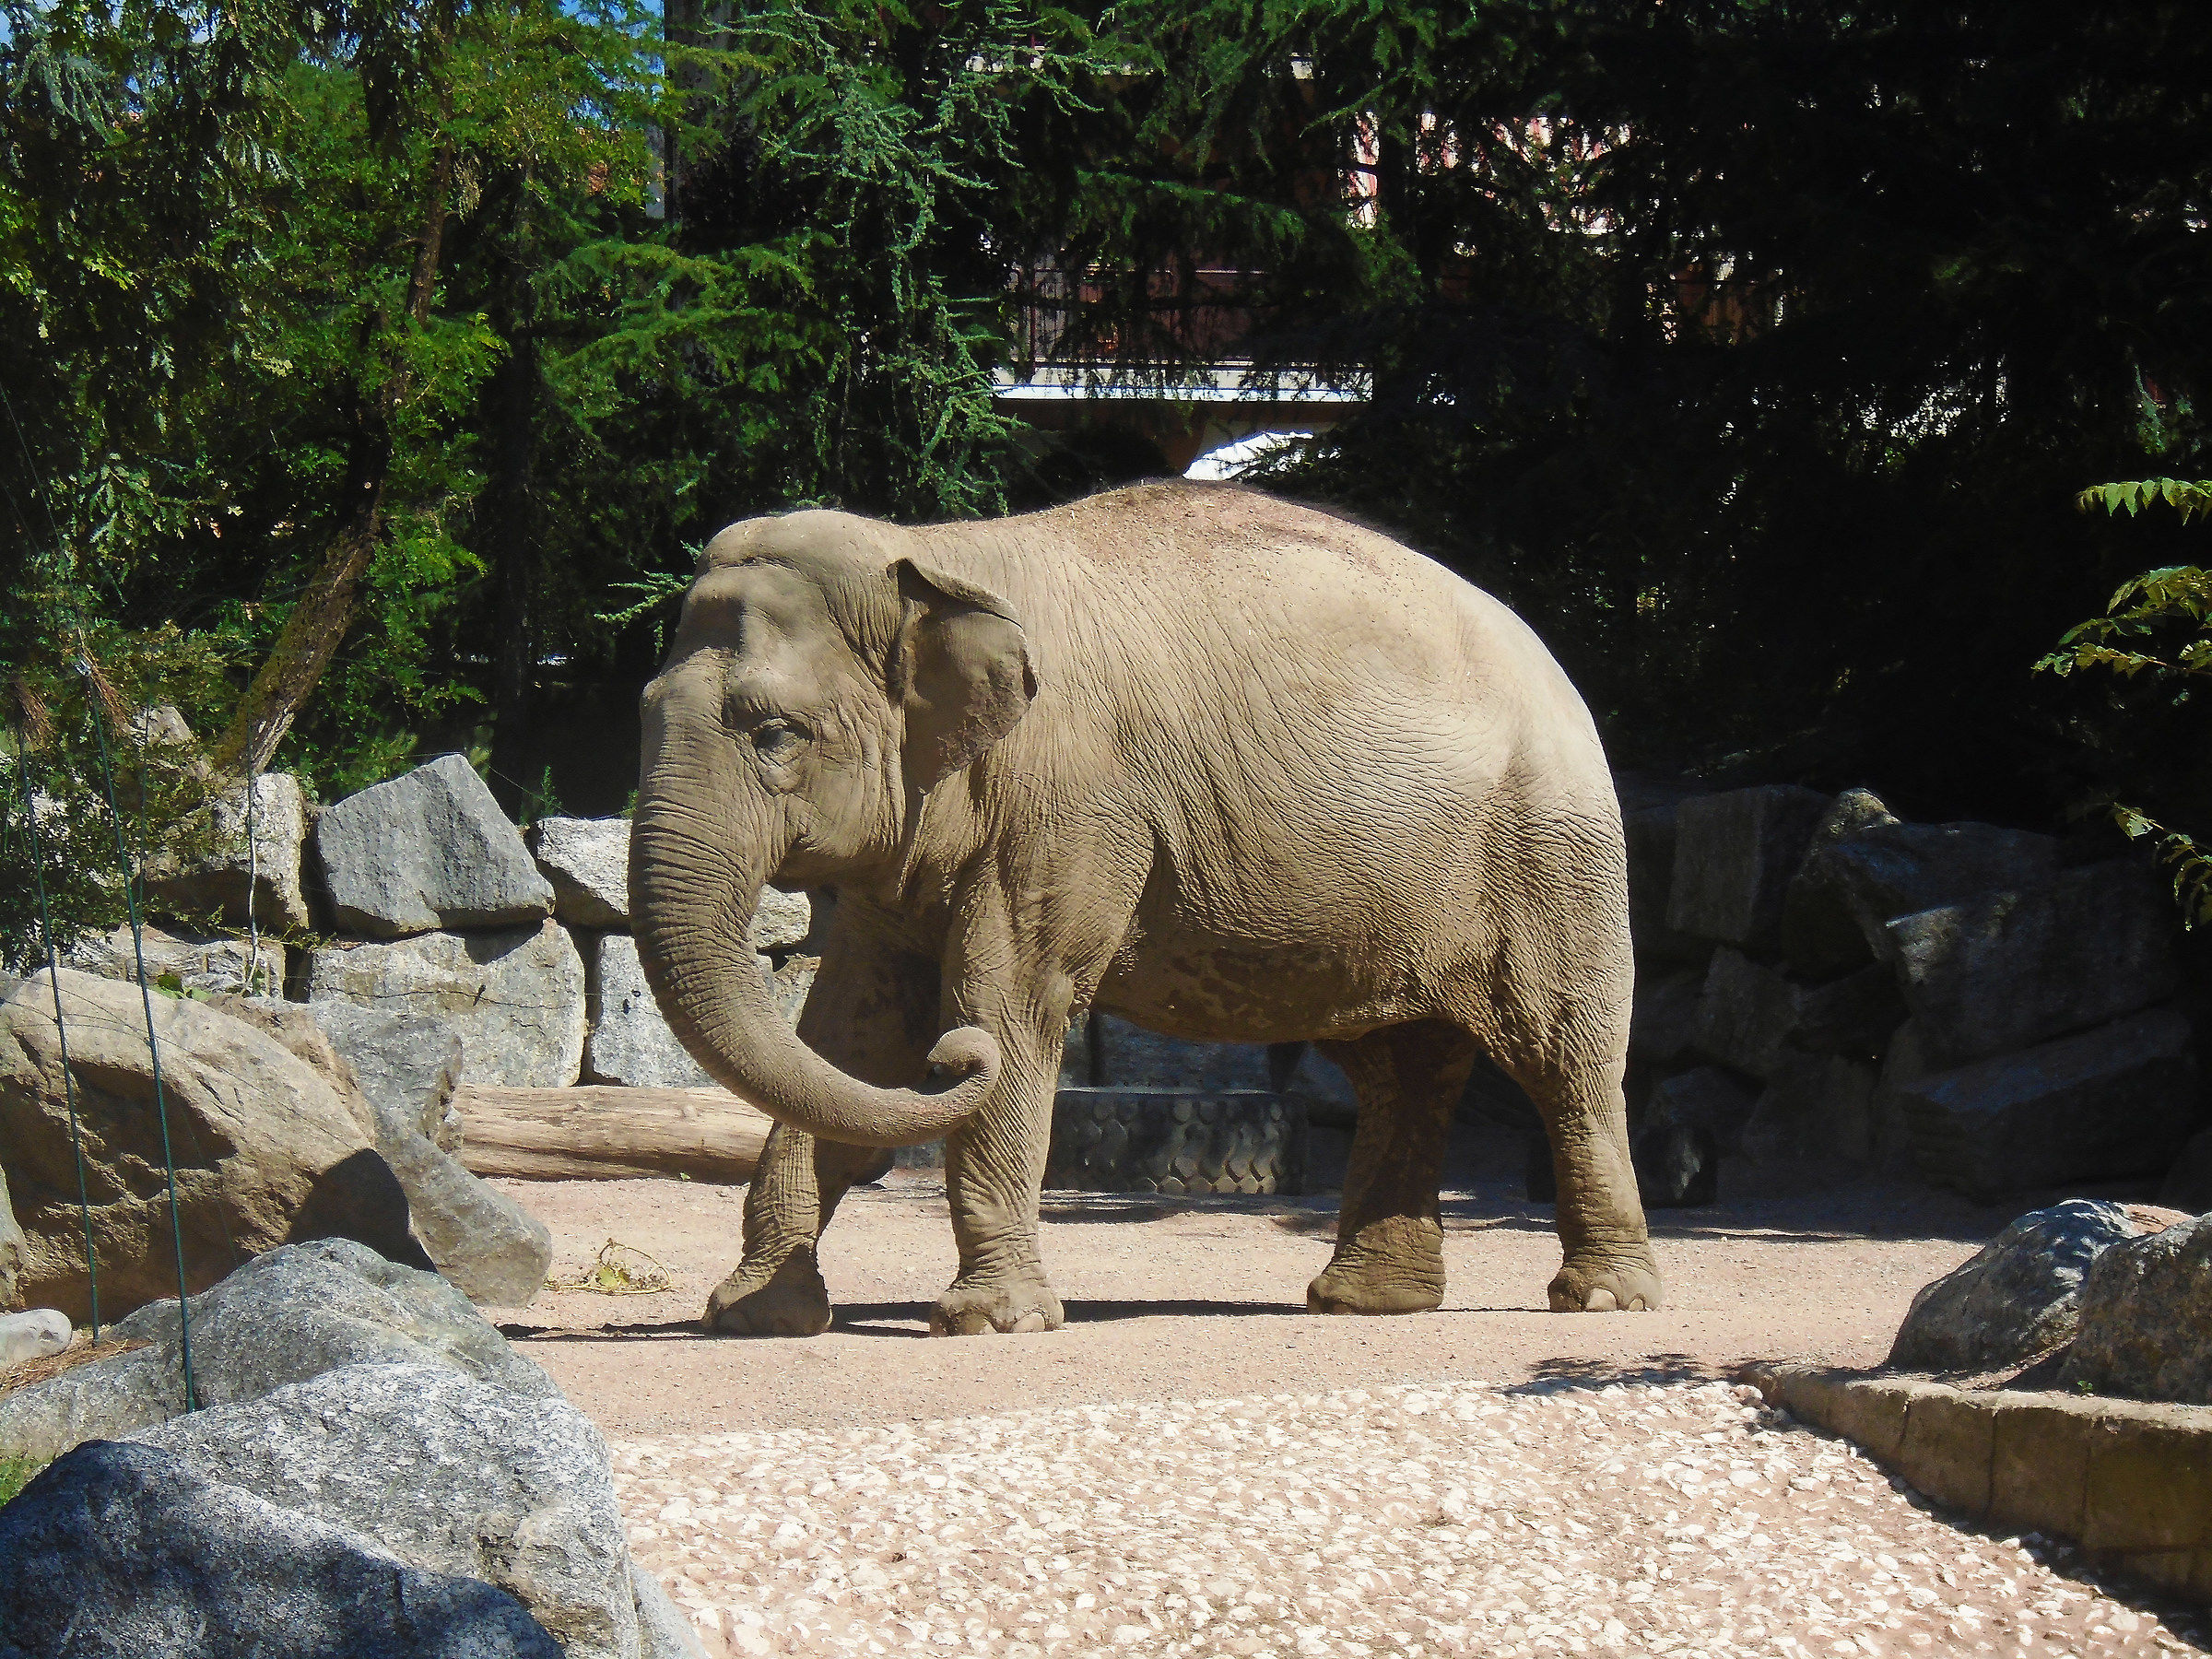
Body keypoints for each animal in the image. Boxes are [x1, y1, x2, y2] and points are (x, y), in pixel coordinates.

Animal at [629, 480, 1660, 1336]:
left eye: (775, 734)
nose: (950, 1061)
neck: (931, 553)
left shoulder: (1070, 809)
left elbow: (1006, 1002)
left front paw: (991, 1322)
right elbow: (848, 1033)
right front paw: (753, 1315)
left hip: (1548, 856)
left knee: (1562, 1055)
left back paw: (1602, 1301)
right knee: (1399, 1067)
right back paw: (1365, 1303)